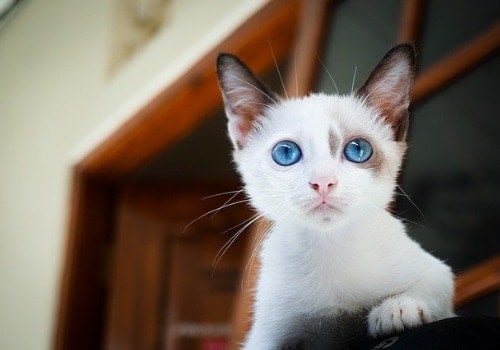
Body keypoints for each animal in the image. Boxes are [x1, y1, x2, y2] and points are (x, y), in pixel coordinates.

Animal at [217, 44, 456, 350]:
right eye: (286, 153)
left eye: (357, 149)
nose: (322, 182)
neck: (329, 248)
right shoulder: (265, 338)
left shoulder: (437, 272)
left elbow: (436, 287)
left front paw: (399, 309)